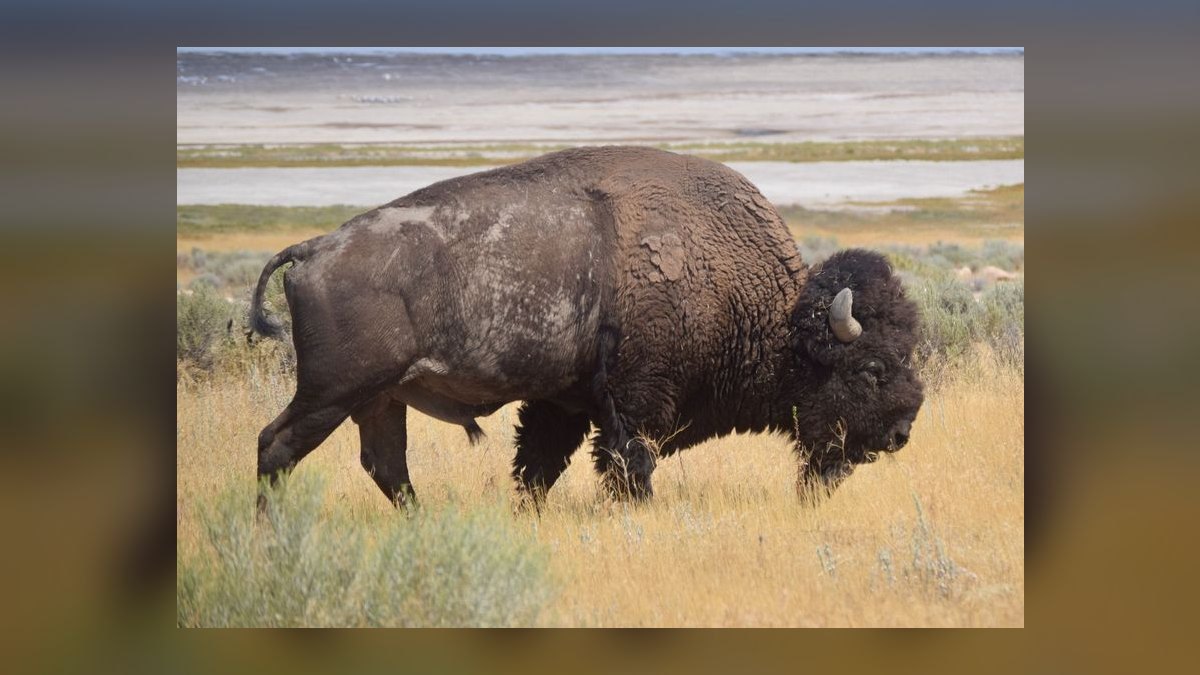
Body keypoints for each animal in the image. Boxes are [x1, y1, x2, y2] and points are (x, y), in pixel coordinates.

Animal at [249, 146, 923, 509]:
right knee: (276, 446)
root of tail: (313, 248)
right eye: (871, 368)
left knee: (386, 466)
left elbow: (537, 467)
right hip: (332, 393)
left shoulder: (563, 404)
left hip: (379, 400)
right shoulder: (633, 406)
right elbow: (627, 468)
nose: (901, 433)